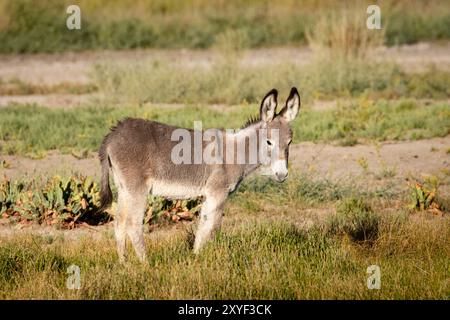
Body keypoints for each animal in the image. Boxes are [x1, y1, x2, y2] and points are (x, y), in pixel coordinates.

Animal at [99, 88, 302, 262]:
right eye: (268, 142)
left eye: (290, 142)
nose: (282, 174)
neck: (236, 152)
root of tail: (113, 134)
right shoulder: (217, 193)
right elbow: (211, 227)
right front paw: (203, 259)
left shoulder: (209, 195)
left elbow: (203, 226)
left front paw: (195, 257)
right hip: (137, 189)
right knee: (133, 224)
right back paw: (146, 264)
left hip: (124, 188)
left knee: (119, 223)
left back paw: (124, 263)